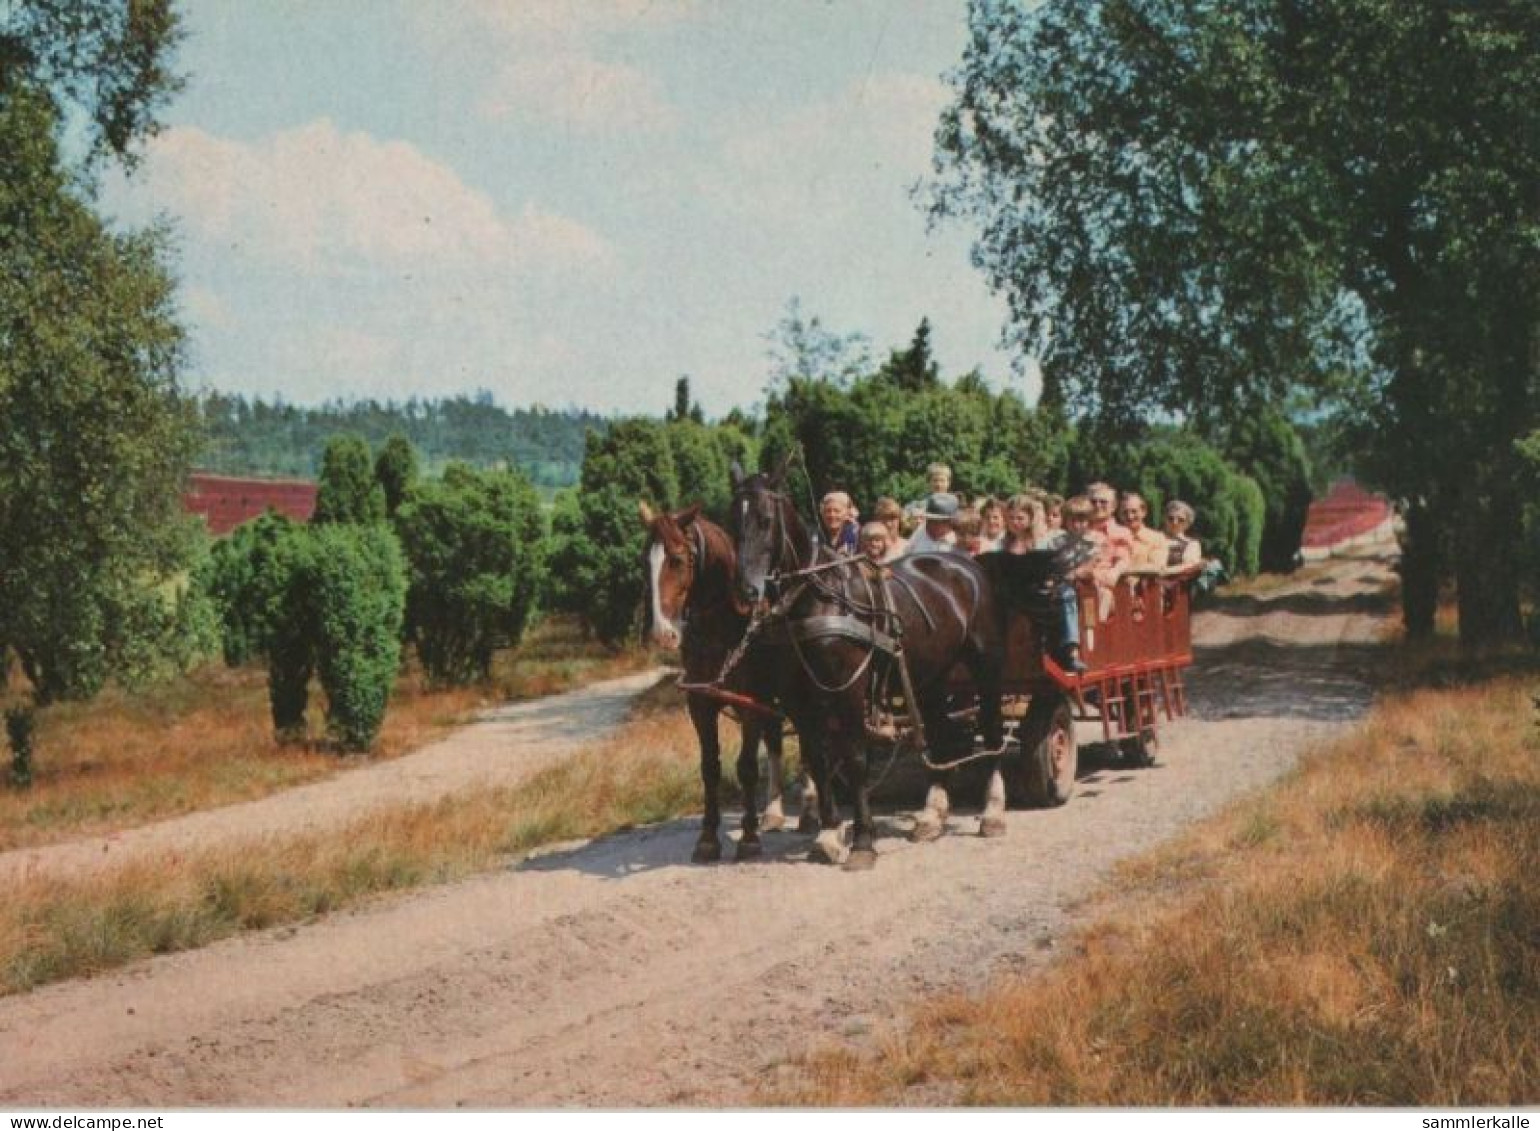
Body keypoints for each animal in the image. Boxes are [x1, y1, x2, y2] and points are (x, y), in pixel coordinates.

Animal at [640, 499, 806, 862]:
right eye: (645, 561)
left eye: (676, 559)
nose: (663, 635)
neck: (725, 624)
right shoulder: (701, 703)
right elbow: (710, 768)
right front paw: (707, 838)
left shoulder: (751, 704)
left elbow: (746, 767)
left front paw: (748, 837)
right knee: (777, 740)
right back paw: (774, 812)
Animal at [733, 465, 1010, 875]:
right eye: (733, 520)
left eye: (766, 520)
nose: (746, 591)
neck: (818, 600)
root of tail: (970, 566)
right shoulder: (801, 703)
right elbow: (818, 761)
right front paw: (827, 836)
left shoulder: (848, 693)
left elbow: (855, 760)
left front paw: (863, 841)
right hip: (932, 676)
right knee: (940, 735)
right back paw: (932, 815)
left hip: (986, 669)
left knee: (991, 732)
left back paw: (992, 812)